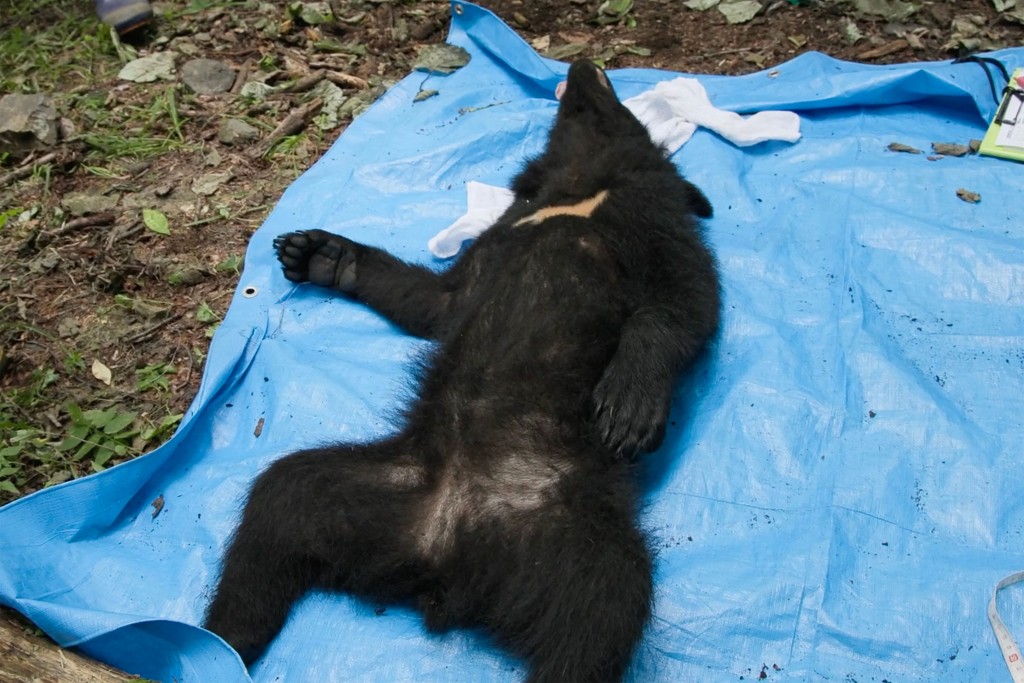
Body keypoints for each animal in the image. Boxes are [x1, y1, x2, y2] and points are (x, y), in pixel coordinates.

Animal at [204, 59, 720, 683]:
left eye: (617, 98)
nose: (584, 64)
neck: (578, 188)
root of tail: (445, 567)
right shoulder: (500, 239)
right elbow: (437, 301)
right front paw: (327, 255)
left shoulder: (654, 221)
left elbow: (684, 300)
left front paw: (629, 407)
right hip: (367, 494)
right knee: (276, 509)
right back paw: (216, 643)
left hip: (572, 534)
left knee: (601, 608)